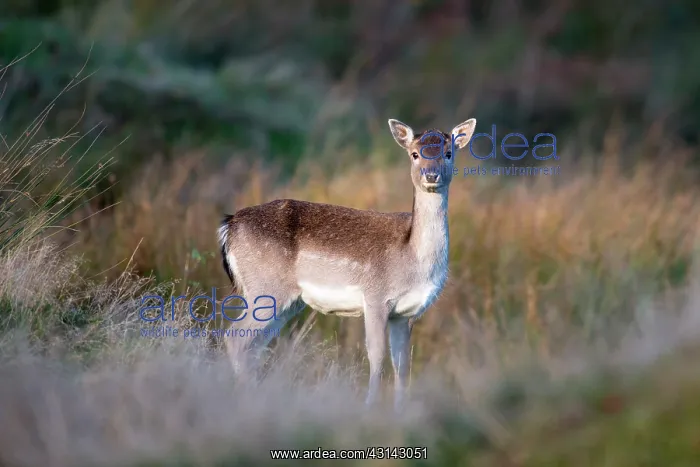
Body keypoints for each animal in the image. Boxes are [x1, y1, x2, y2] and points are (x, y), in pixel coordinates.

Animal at [217, 118, 477, 409]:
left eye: (448, 153)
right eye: (414, 153)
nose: (430, 176)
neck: (413, 260)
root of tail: (229, 226)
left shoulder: (405, 315)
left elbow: (403, 365)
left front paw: (401, 412)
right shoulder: (376, 297)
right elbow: (376, 356)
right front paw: (369, 408)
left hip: (286, 302)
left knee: (253, 344)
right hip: (266, 288)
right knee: (235, 337)